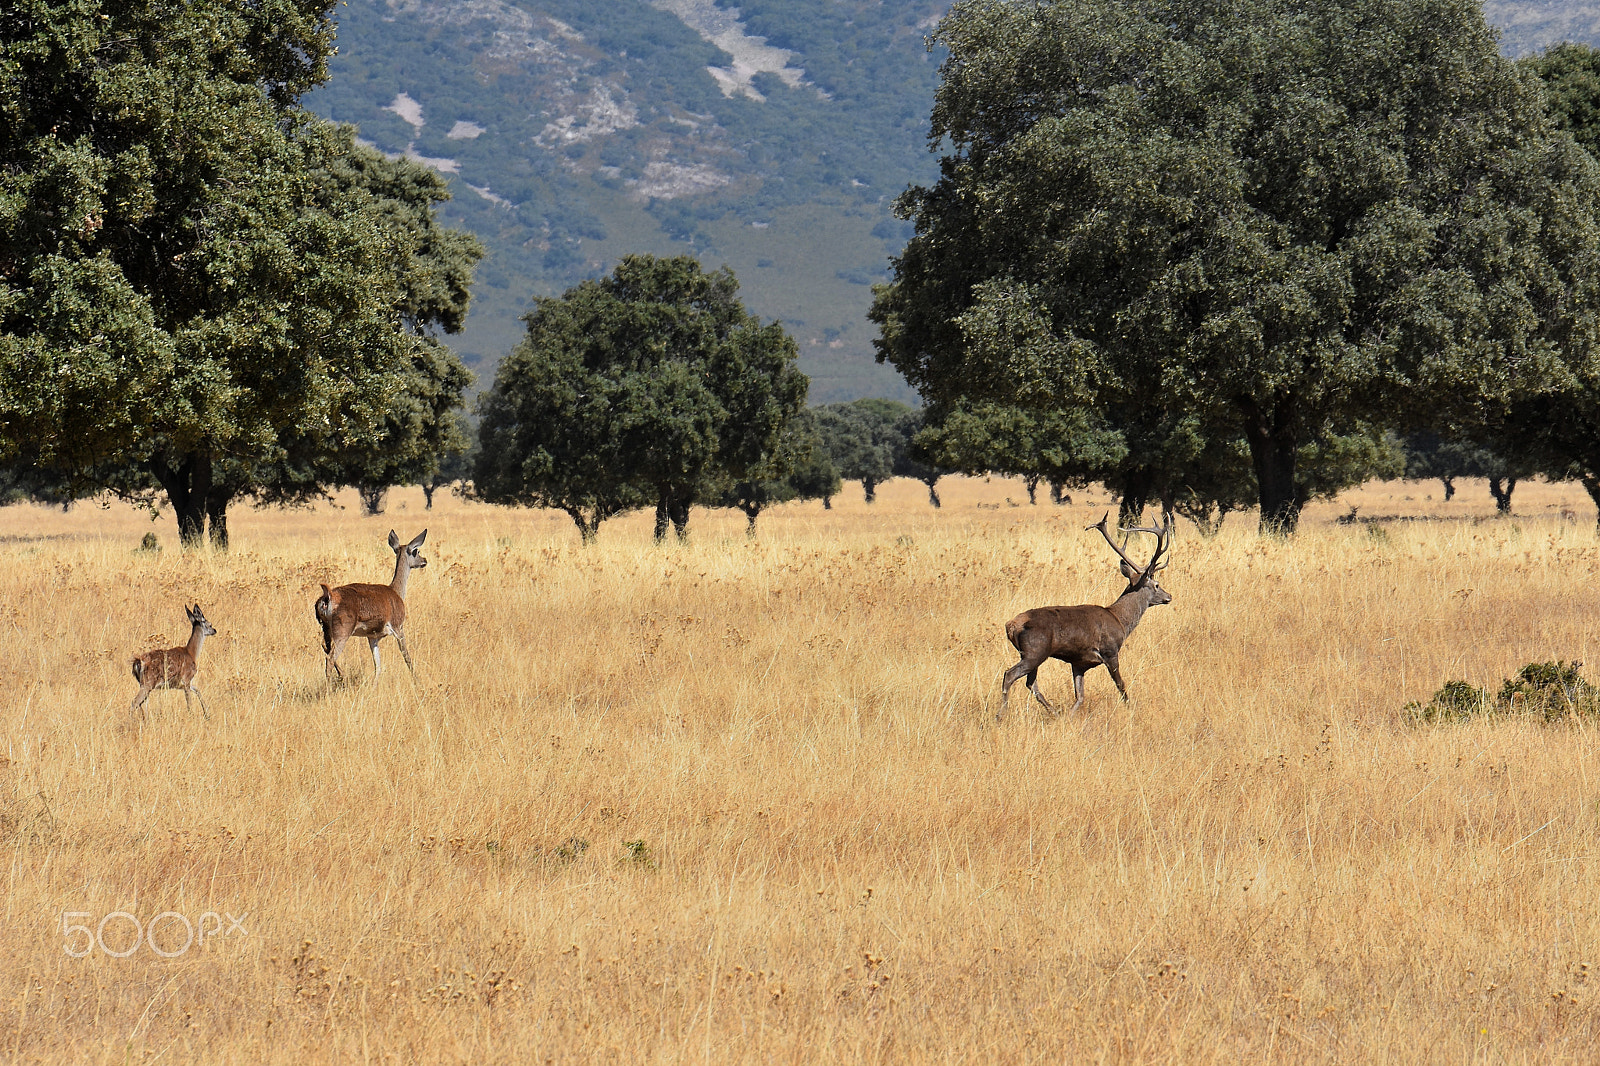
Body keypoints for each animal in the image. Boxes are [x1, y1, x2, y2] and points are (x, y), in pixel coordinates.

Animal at [316, 529, 427, 682]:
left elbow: (378, 666)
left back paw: (343, 675)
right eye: (416, 551)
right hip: (343, 630)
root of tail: (327, 597)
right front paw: (417, 680)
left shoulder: (372, 636)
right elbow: (407, 656)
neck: (396, 591)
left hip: (326, 627)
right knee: (330, 657)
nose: (424, 561)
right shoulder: (398, 627)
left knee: (325, 647)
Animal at [998, 513, 1173, 721]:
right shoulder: (1110, 651)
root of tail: (1011, 625)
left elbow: (1080, 696)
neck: (1120, 620)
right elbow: (1121, 685)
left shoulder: (1079, 662)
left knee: (1031, 683)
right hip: (1035, 650)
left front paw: (1069, 717)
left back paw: (1054, 712)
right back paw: (1001, 715)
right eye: (1157, 584)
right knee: (1009, 675)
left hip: (1032, 653)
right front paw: (1130, 710)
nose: (1169, 596)